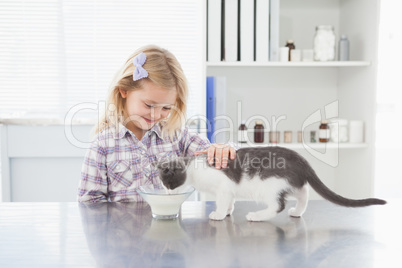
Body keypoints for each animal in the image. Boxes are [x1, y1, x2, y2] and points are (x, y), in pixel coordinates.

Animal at [155, 147, 386, 222]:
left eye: (169, 183)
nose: (166, 192)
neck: (193, 168)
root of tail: (301, 161)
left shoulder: (223, 186)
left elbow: (222, 200)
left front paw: (219, 214)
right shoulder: (228, 190)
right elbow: (229, 201)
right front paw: (228, 211)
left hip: (270, 185)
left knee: (278, 205)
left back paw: (257, 216)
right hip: (289, 182)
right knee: (303, 193)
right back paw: (297, 211)